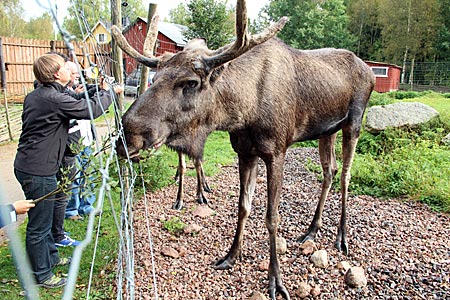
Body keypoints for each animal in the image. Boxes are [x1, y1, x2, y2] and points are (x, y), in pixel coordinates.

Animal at [113, 0, 376, 298]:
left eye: (191, 82)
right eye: (155, 77)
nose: (127, 136)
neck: (242, 111)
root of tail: (369, 71)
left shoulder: (277, 152)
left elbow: (272, 217)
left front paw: (276, 280)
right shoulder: (244, 151)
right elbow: (243, 206)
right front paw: (231, 255)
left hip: (354, 122)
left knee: (345, 175)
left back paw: (342, 236)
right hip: (327, 130)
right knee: (329, 171)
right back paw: (311, 229)